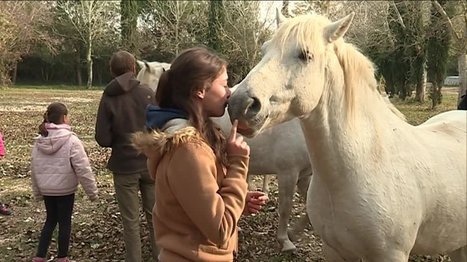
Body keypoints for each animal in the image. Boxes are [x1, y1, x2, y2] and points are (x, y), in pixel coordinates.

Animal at [228, 10, 467, 262]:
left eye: (305, 55)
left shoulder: (390, 254)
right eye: (264, 50)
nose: (239, 104)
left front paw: (288, 238)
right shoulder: (333, 250)